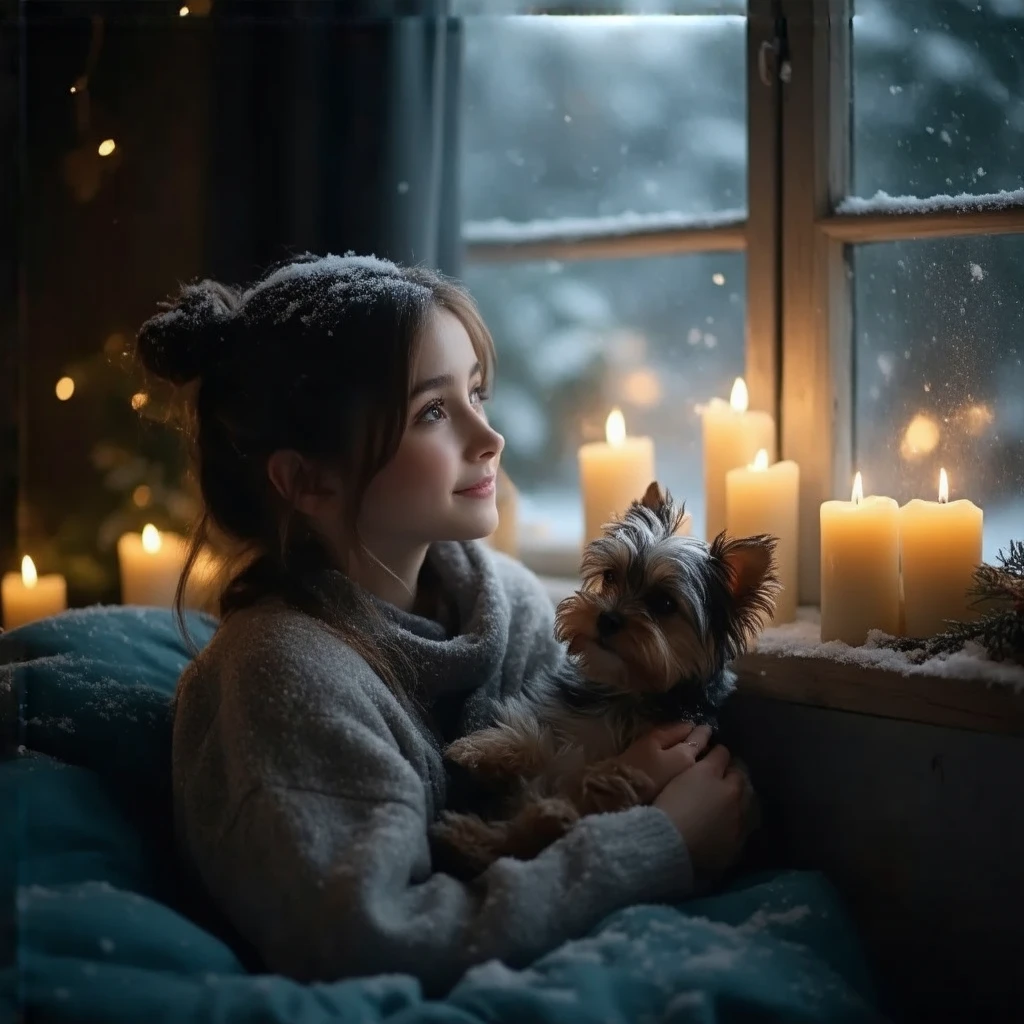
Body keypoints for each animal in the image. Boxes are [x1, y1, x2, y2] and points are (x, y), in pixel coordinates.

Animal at [430, 481, 774, 880]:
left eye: (665, 604)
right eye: (611, 577)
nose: (607, 618)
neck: (624, 689)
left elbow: (595, 777)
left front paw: (599, 782)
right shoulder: (564, 722)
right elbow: (544, 744)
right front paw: (481, 748)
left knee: (525, 836)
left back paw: (538, 818)